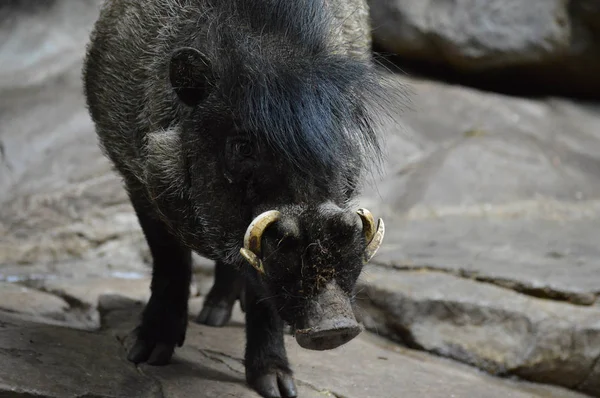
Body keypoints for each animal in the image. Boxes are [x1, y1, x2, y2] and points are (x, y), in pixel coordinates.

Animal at [81, 0, 398, 398]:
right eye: (242, 146)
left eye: (337, 139)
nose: (335, 326)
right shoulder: (138, 178)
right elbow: (169, 262)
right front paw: (145, 356)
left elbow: (262, 297)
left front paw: (278, 387)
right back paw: (210, 318)